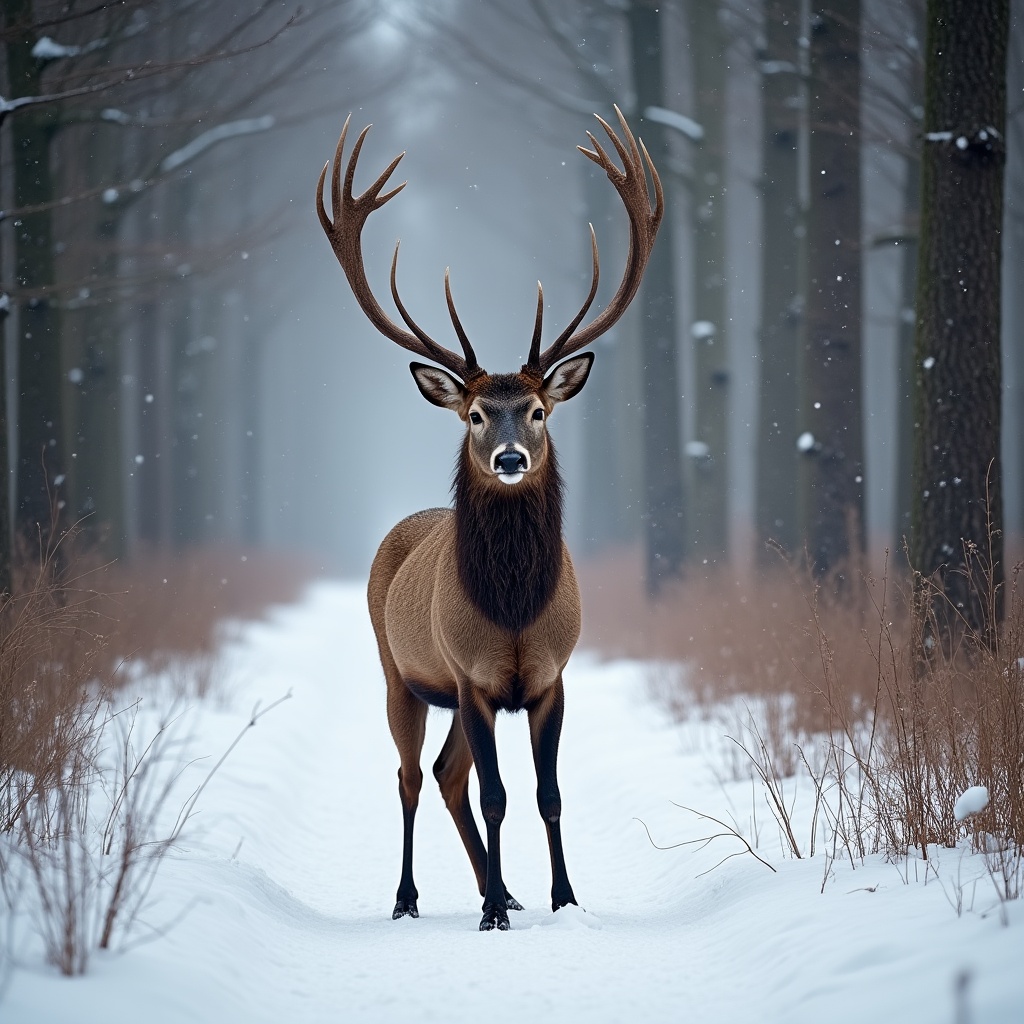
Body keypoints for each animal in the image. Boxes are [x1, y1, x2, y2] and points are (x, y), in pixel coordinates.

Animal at [316, 107, 662, 931]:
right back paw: (413, 897)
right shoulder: (471, 678)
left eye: (537, 409)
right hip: (399, 671)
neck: (510, 610)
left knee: (446, 774)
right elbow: (499, 795)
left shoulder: (550, 676)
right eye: (475, 413)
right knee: (413, 775)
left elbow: (547, 794)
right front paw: (498, 916)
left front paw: (562, 897)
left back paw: (495, 887)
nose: (508, 457)